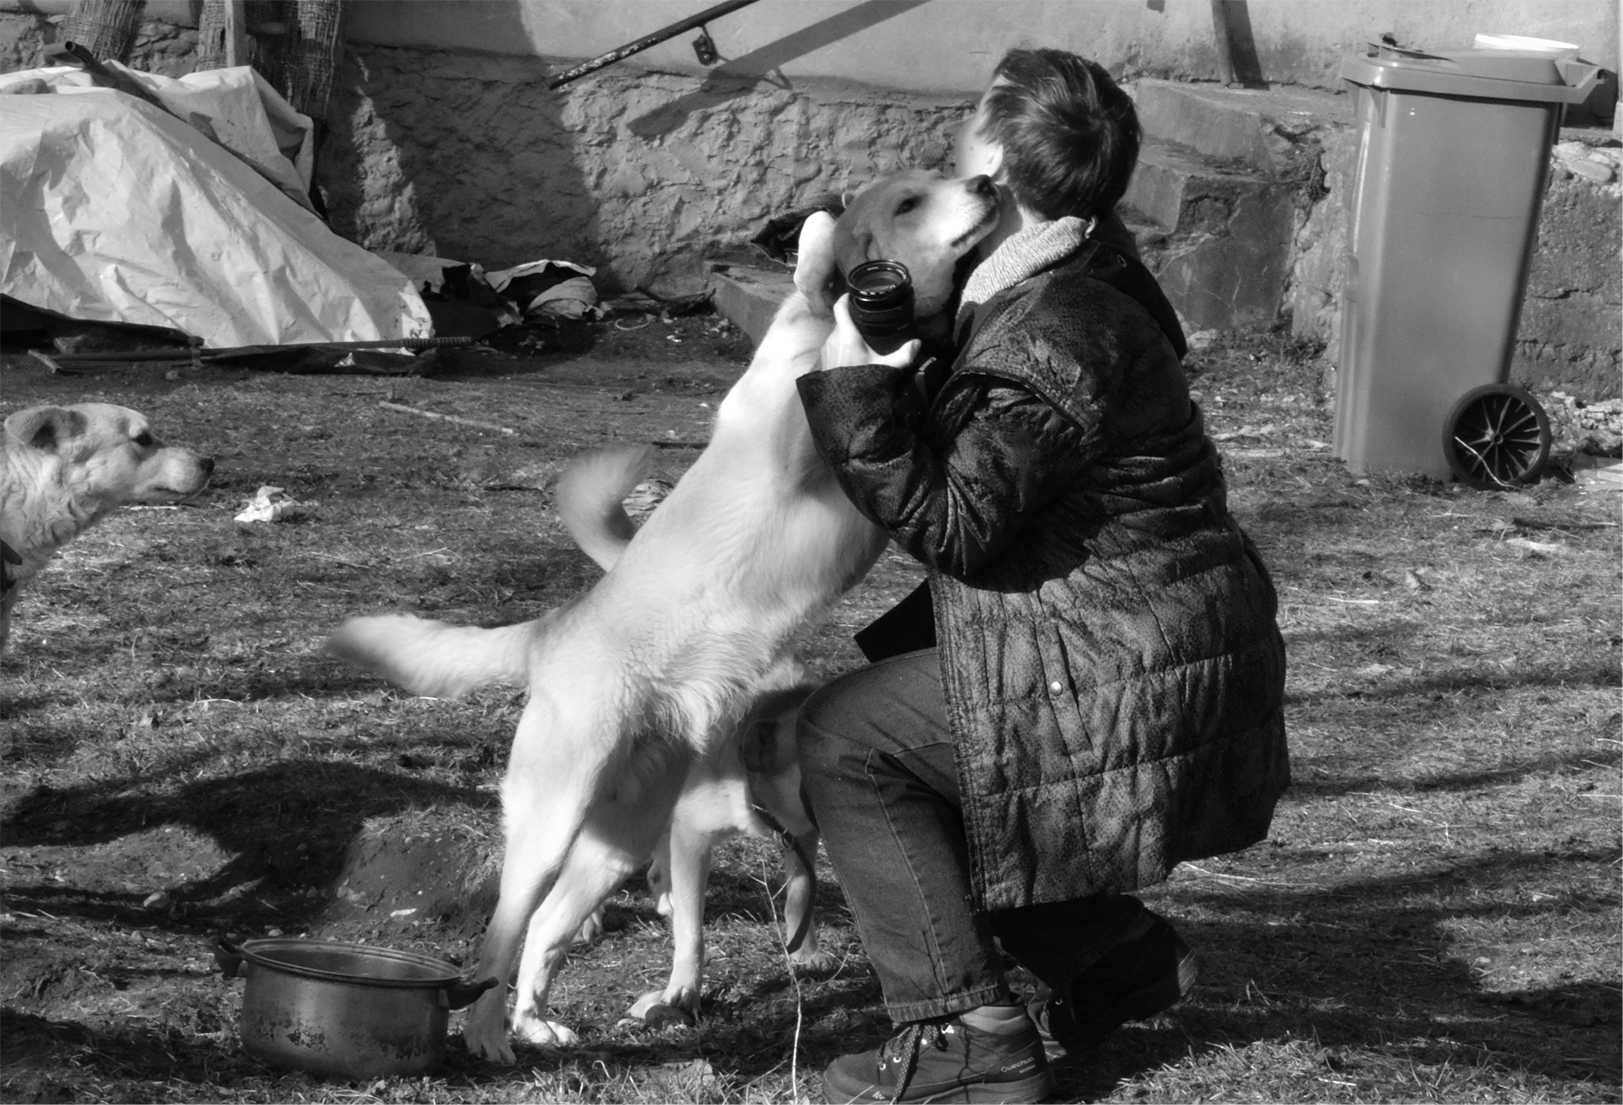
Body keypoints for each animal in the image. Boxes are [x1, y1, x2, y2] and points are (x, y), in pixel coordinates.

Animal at [329, 170, 999, 1057]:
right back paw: (488, 1035)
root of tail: (559, 626)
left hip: (612, 845)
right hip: (551, 825)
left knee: (543, 930)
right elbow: (838, 332)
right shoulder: (797, 434)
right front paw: (832, 280)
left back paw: (534, 1021)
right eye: (908, 203)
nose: (989, 180)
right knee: (500, 937)